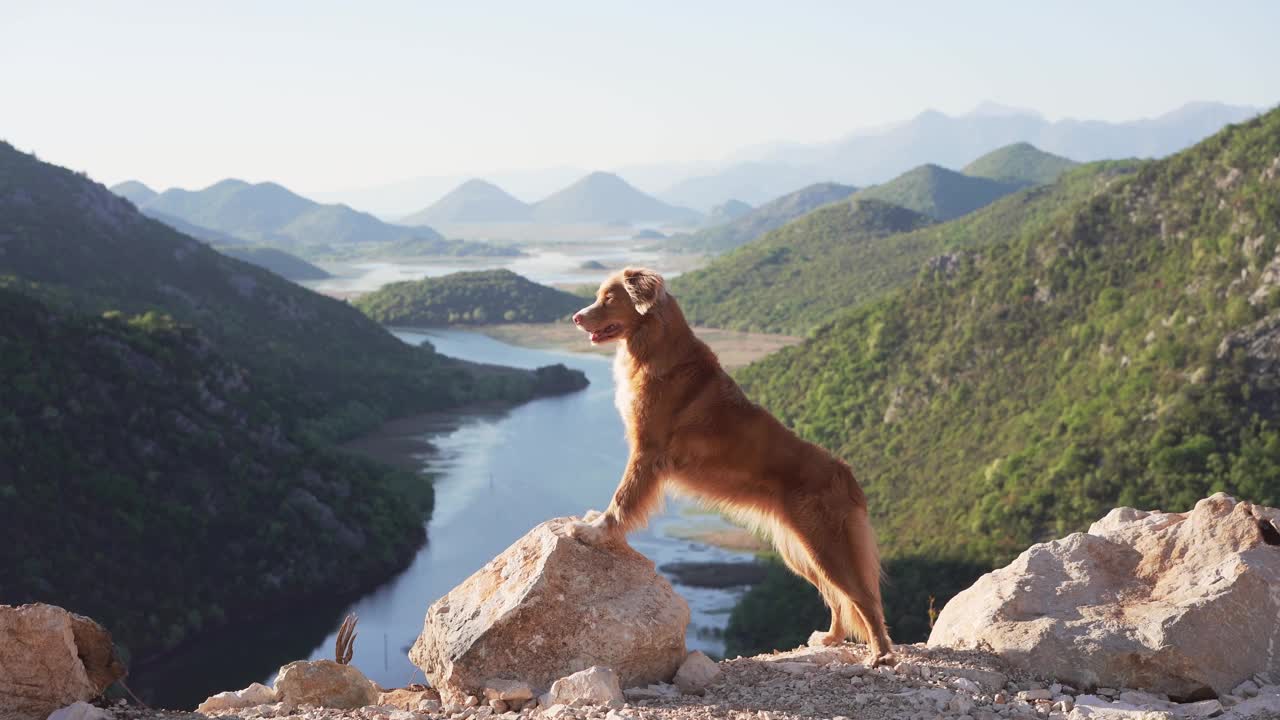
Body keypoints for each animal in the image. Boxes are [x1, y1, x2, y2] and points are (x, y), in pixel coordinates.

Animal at [565, 267, 896, 661]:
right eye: (597, 296)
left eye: (610, 298)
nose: (576, 317)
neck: (654, 348)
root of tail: (847, 476)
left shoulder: (646, 452)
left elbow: (622, 499)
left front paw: (594, 531)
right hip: (801, 553)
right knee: (838, 597)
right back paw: (831, 638)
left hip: (827, 546)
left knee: (863, 598)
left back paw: (881, 653)